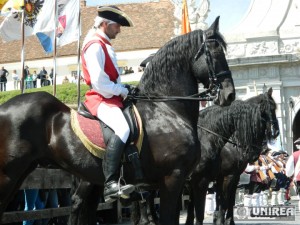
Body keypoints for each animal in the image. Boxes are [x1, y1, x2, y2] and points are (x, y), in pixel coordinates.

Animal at [185, 88, 278, 225]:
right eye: (270, 109)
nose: (276, 132)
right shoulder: (226, 176)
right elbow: (223, 201)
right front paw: (222, 220)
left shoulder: (230, 176)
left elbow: (227, 200)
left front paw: (223, 219)